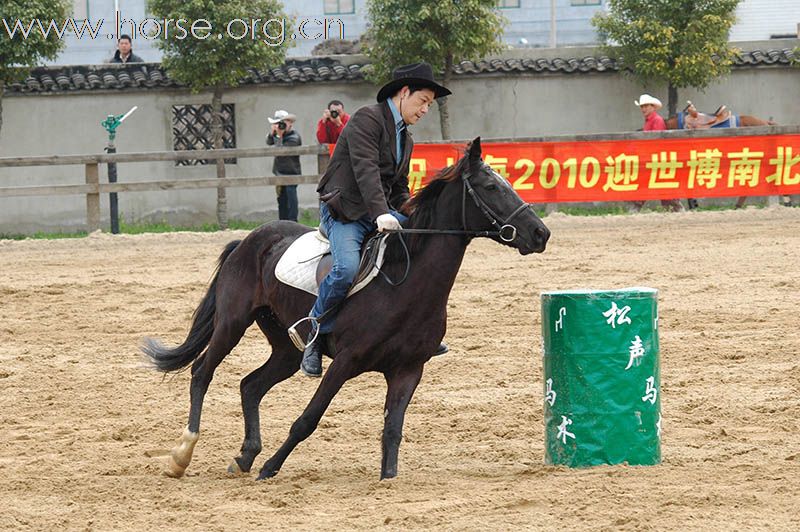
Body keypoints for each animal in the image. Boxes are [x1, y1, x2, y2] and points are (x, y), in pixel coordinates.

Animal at [142, 138, 552, 482]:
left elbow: (392, 431)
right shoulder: (344, 362)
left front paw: (387, 479)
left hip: (286, 347)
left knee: (250, 385)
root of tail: (248, 240)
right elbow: (307, 420)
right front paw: (271, 468)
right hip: (232, 323)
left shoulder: (408, 370)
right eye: (492, 187)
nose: (540, 234)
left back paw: (245, 457)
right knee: (202, 372)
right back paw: (183, 454)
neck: (405, 284)